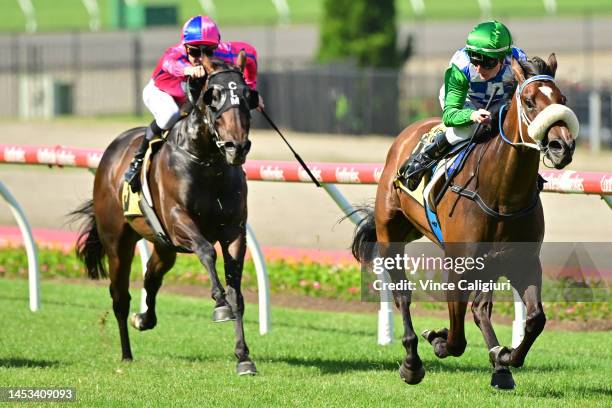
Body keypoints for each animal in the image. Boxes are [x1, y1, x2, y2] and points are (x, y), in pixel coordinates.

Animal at [70, 53, 260, 376]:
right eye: (213, 97)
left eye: (248, 96)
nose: (237, 146)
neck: (207, 162)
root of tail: (112, 151)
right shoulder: (177, 220)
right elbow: (207, 251)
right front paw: (219, 303)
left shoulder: (234, 231)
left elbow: (237, 295)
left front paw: (243, 357)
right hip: (118, 242)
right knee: (119, 296)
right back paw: (126, 353)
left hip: (163, 245)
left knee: (151, 278)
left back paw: (144, 319)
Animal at [352, 54, 580, 388]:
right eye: (528, 101)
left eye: (561, 100)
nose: (561, 146)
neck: (501, 194)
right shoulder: (459, 266)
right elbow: (457, 338)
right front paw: (438, 338)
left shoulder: (523, 261)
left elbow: (535, 319)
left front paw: (505, 357)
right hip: (390, 235)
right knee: (402, 295)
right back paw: (411, 362)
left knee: (481, 308)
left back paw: (499, 368)